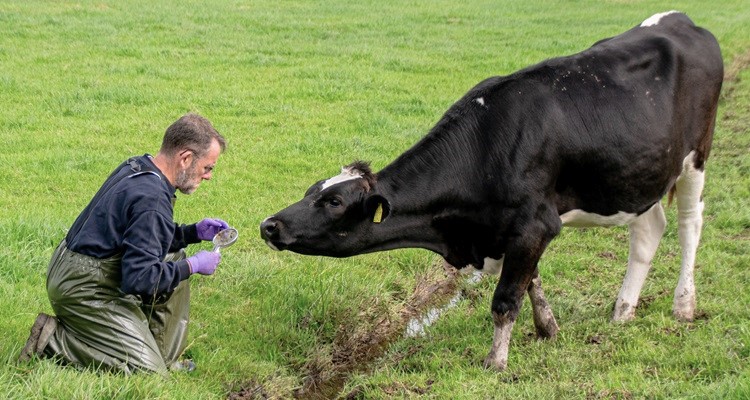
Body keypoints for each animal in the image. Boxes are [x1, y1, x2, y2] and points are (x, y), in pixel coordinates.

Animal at [262, 10, 724, 370]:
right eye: (312, 189)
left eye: (334, 201)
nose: (269, 225)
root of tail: (681, 20)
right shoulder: (512, 231)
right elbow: (531, 282)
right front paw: (548, 328)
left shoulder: (534, 225)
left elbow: (505, 299)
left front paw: (496, 362)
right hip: (638, 174)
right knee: (648, 230)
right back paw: (623, 311)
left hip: (696, 157)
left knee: (690, 224)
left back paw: (683, 304)